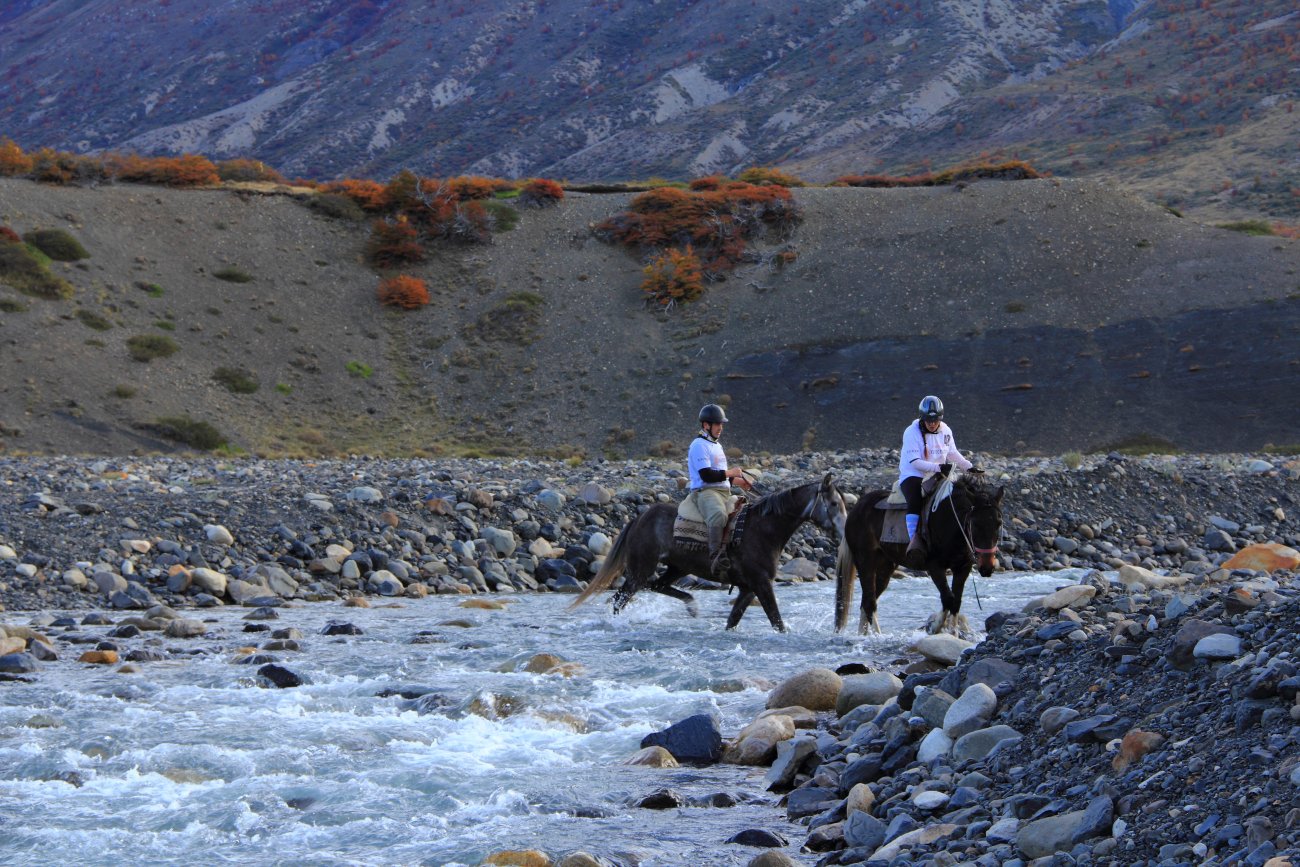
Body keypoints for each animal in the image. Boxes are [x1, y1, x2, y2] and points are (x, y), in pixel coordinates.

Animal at [566, 470, 847, 634]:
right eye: (833, 503)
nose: (844, 532)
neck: (763, 529)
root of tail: (639, 518)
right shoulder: (761, 584)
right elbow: (776, 621)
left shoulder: (748, 588)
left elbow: (732, 621)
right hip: (639, 570)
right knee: (620, 599)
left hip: (676, 568)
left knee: (657, 586)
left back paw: (692, 607)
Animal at [832, 475, 1003, 636]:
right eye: (975, 524)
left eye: (999, 523)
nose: (987, 567)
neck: (950, 521)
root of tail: (856, 509)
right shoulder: (935, 567)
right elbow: (948, 598)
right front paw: (935, 627)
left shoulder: (963, 568)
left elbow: (956, 601)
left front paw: (953, 633)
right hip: (865, 561)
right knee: (869, 601)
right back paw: (875, 636)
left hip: (885, 566)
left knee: (868, 600)